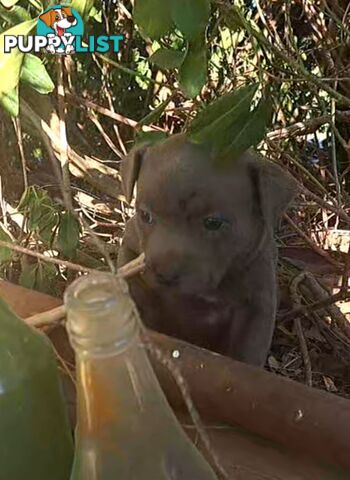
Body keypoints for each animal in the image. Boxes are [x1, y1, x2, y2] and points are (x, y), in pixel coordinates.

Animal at [117, 133, 296, 366]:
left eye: (213, 223)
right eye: (145, 215)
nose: (164, 273)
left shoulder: (257, 306)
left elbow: (246, 355)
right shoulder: (131, 246)